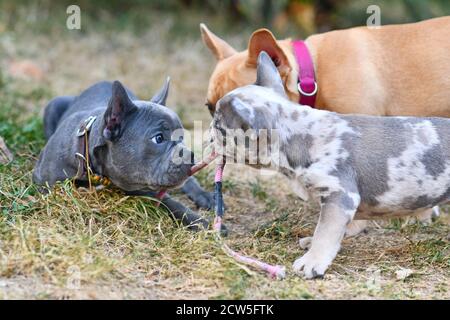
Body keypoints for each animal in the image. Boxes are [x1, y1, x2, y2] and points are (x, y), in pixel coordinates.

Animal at [212, 51, 450, 278]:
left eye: (219, 127)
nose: (209, 134)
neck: (295, 132)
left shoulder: (339, 195)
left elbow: (325, 231)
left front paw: (311, 262)